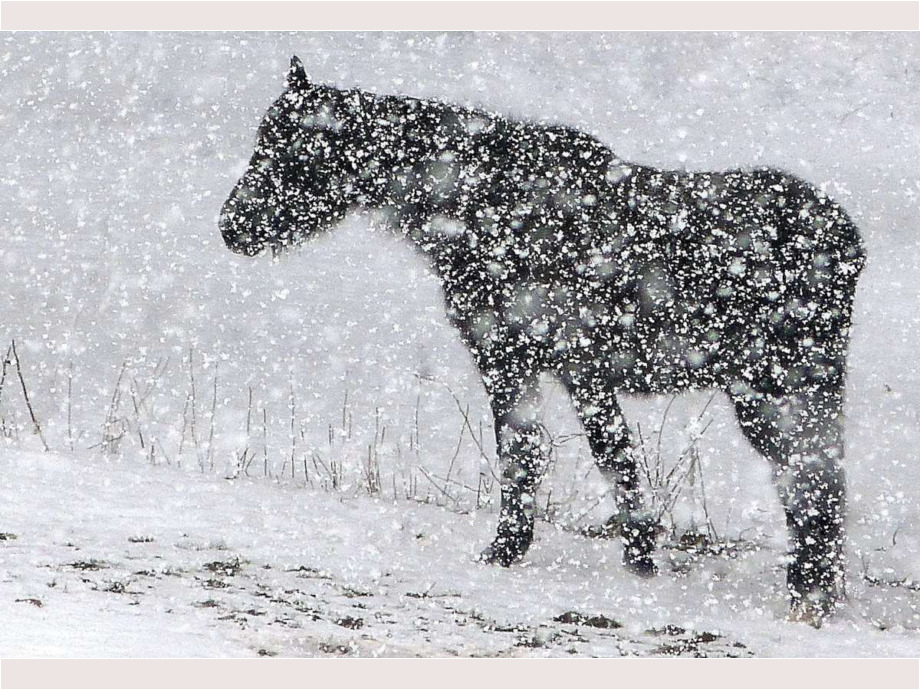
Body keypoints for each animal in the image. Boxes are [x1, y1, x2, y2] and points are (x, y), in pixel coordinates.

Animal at [220, 57, 866, 625]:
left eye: (297, 152)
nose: (231, 228)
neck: (471, 209)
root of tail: (849, 243)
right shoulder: (569, 370)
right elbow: (599, 459)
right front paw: (634, 558)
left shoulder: (523, 358)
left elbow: (538, 456)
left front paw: (515, 551)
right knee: (817, 482)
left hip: (776, 388)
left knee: (812, 483)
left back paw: (808, 599)